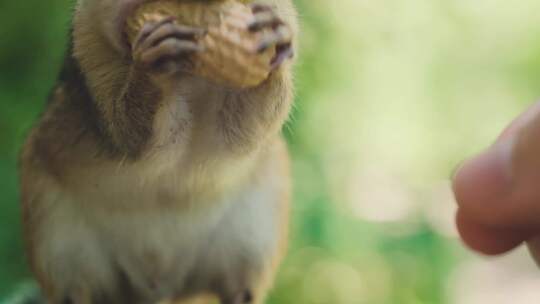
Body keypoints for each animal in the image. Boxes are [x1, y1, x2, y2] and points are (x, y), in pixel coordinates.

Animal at [19, 0, 298, 302]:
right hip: (56, 237)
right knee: (75, 290)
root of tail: (158, 288)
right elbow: (127, 131)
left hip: (252, 235)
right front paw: (151, 63)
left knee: (237, 287)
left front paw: (275, 39)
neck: (191, 75)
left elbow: (244, 128)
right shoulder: (89, 57)